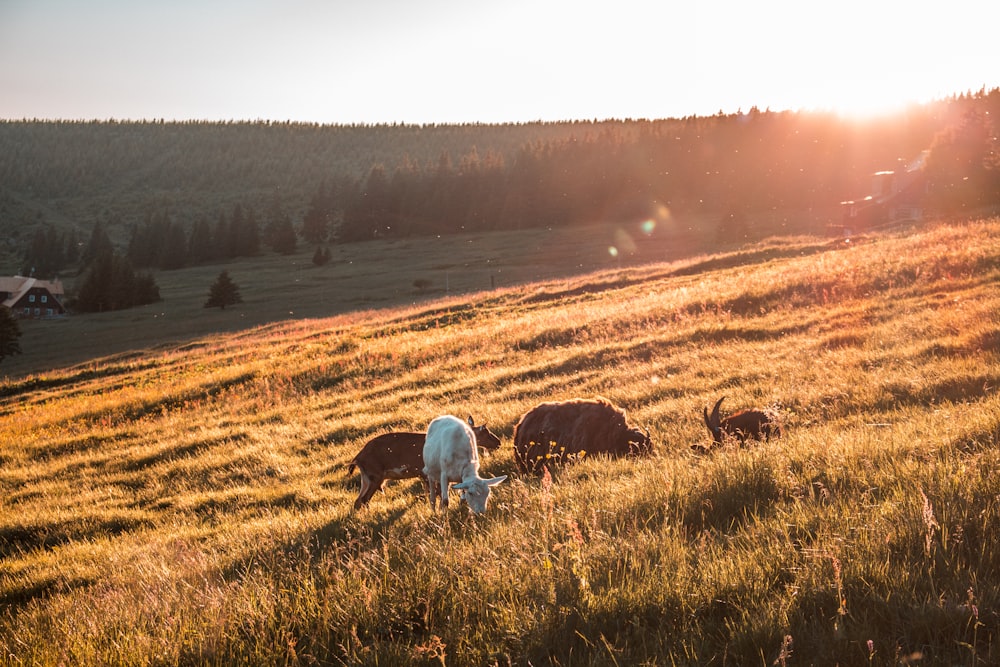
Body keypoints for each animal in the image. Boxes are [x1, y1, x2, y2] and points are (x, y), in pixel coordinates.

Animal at [348, 422, 504, 512]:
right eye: (485, 432)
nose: (498, 442)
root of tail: (357, 458)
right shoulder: (424, 472)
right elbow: (438, 493)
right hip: (375, 476)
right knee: (364, 499)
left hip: (366, 477)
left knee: (358, 500)